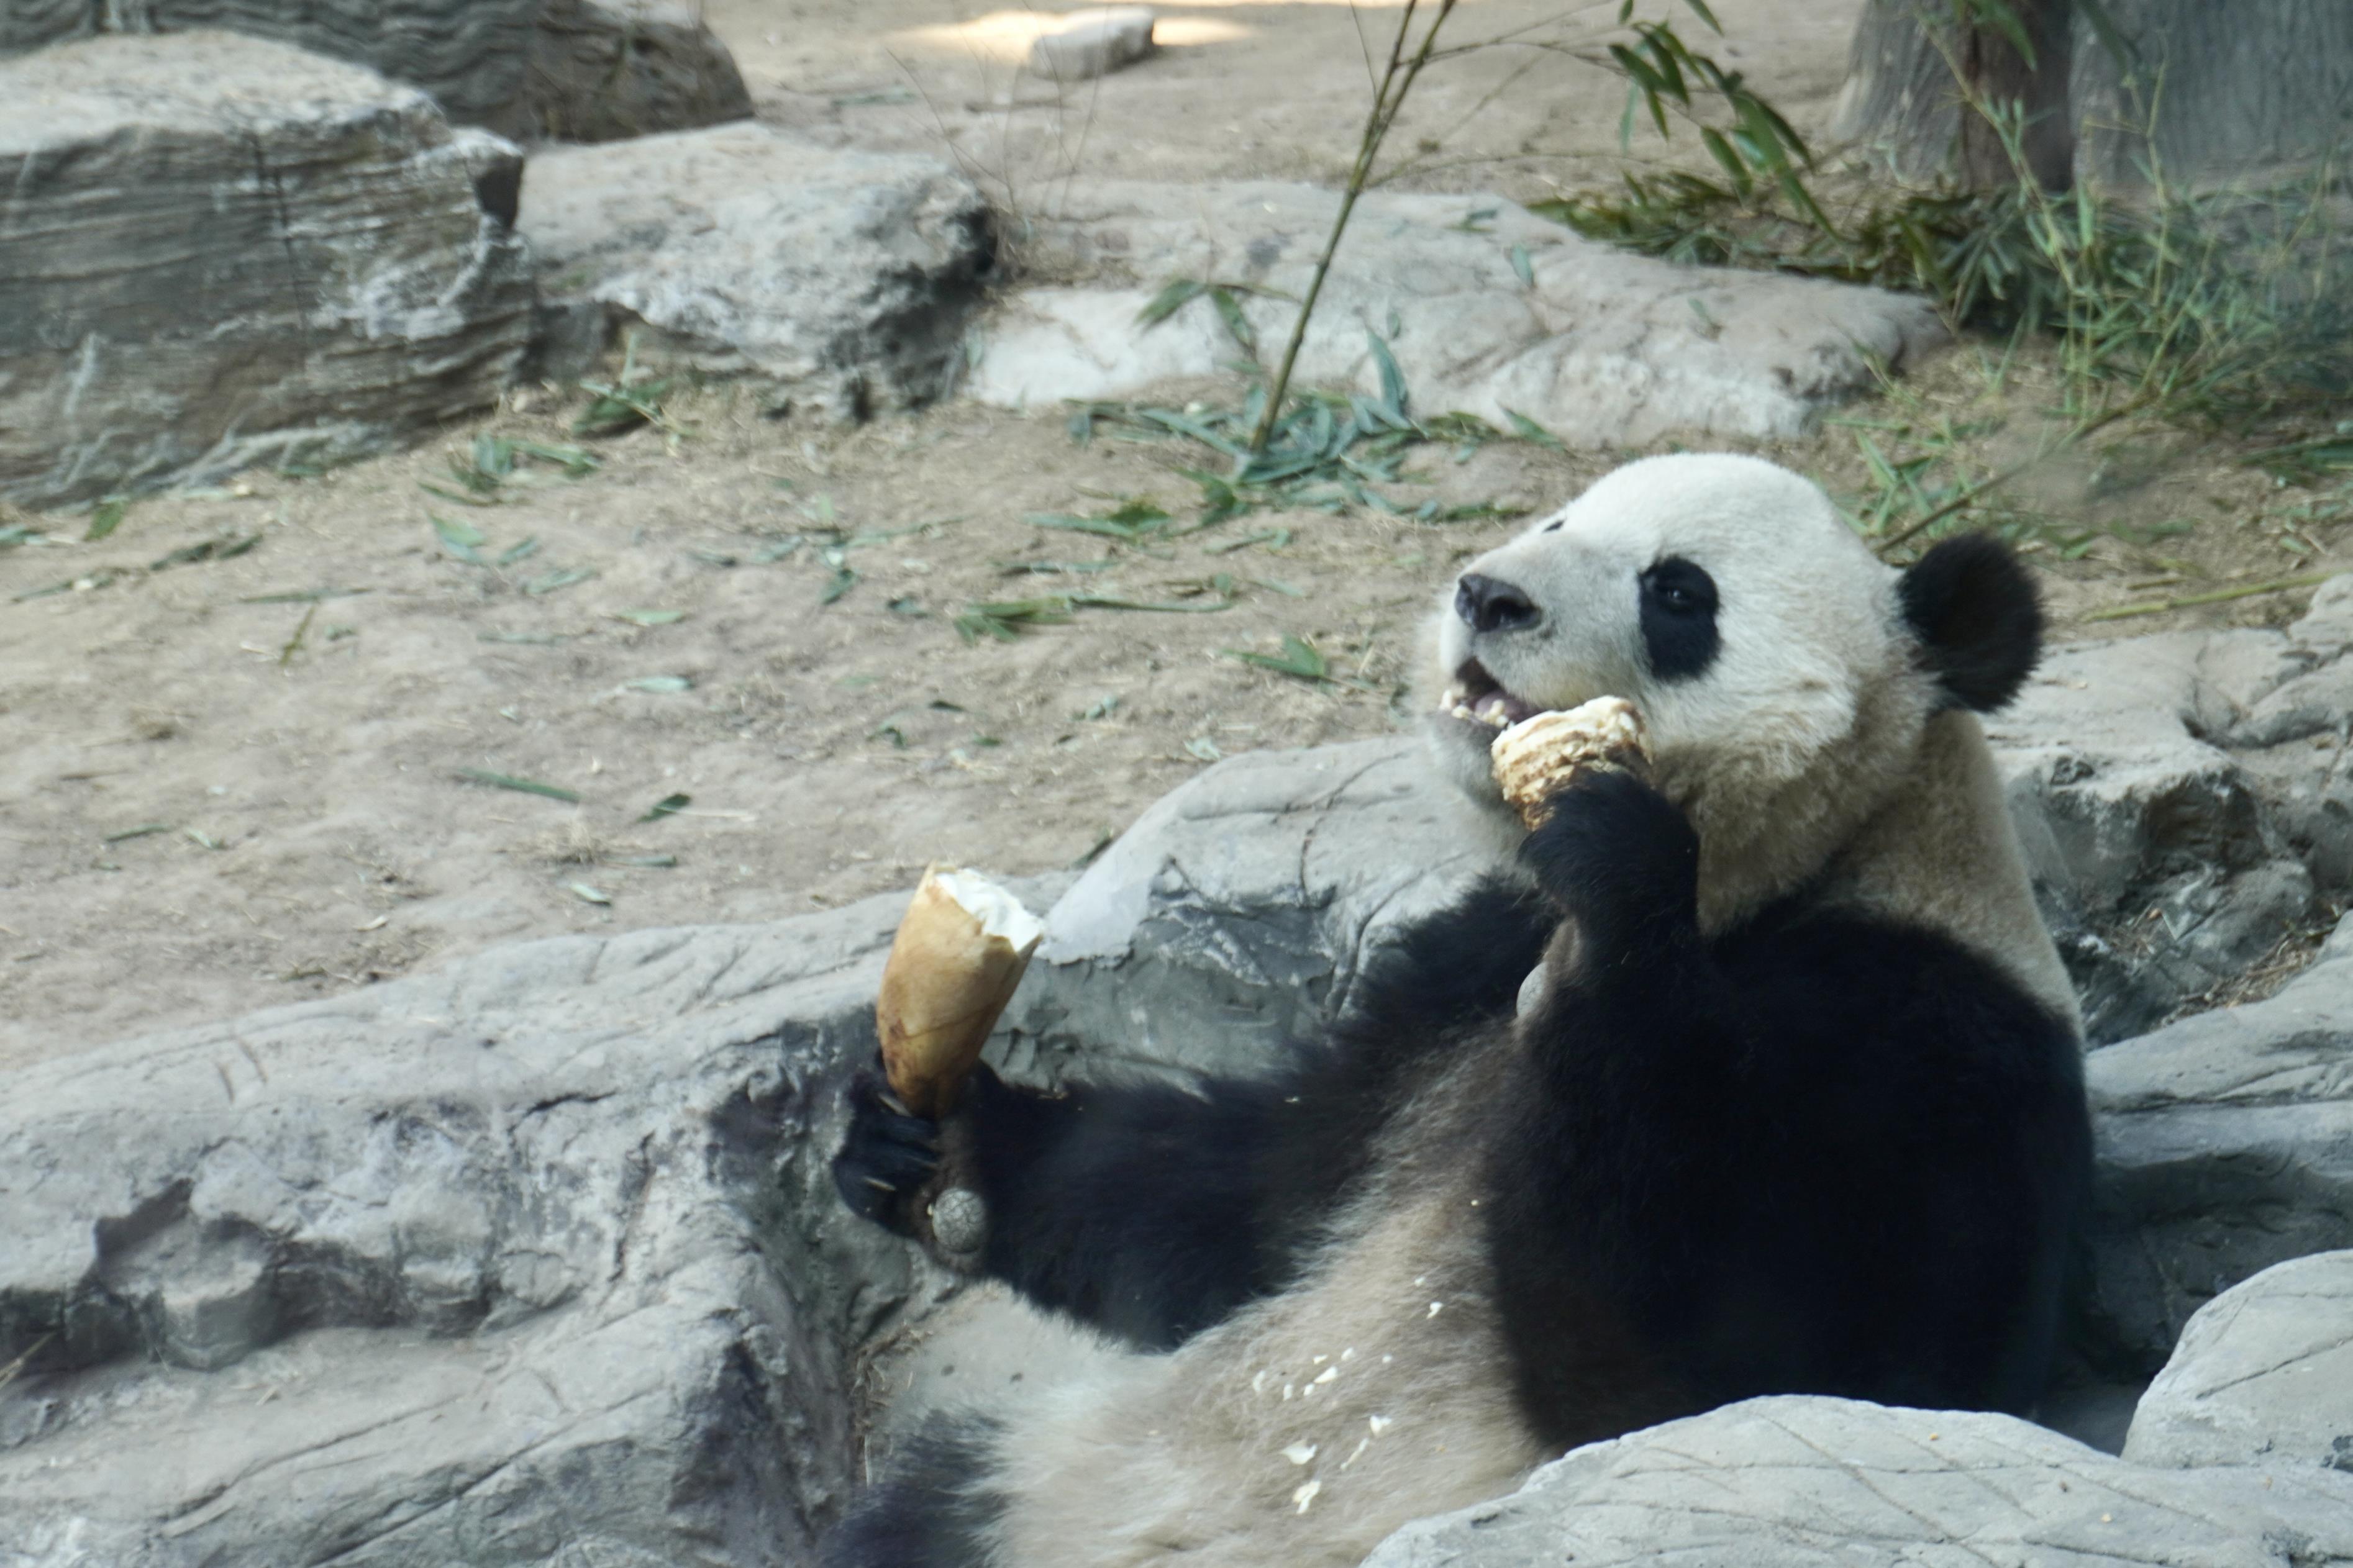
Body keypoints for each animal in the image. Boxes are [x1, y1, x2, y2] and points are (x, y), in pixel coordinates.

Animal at [819, 451, 2089, 1568]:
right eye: (1558, 520)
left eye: (1679, 592)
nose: (1490, 594)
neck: (1789, 875)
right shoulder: (1448, 987)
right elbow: (1248, 1204)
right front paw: (931, 1148)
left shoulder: (1927, 1045)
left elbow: (1733, 1377)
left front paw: (1612, 880)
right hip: (1049, 1483)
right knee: (925, 1519)